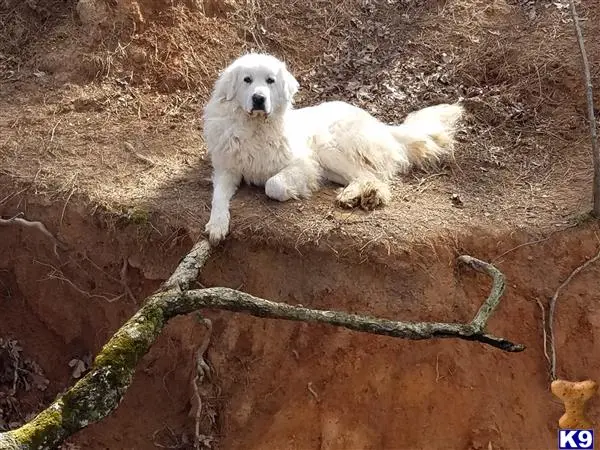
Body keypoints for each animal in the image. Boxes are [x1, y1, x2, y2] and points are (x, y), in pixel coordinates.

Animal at [202, 53, 464, 246]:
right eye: (247, 80)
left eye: (270, 81)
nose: (258, 99)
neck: (255, 127)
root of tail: (379, 123)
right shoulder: (227, 170)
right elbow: (218, 197)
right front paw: (217, 225)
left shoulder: (305, 162)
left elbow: (273, 184)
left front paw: (290, 190)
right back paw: (353, 194)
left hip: (329, 146)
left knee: (371, 175)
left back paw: (363, 195)